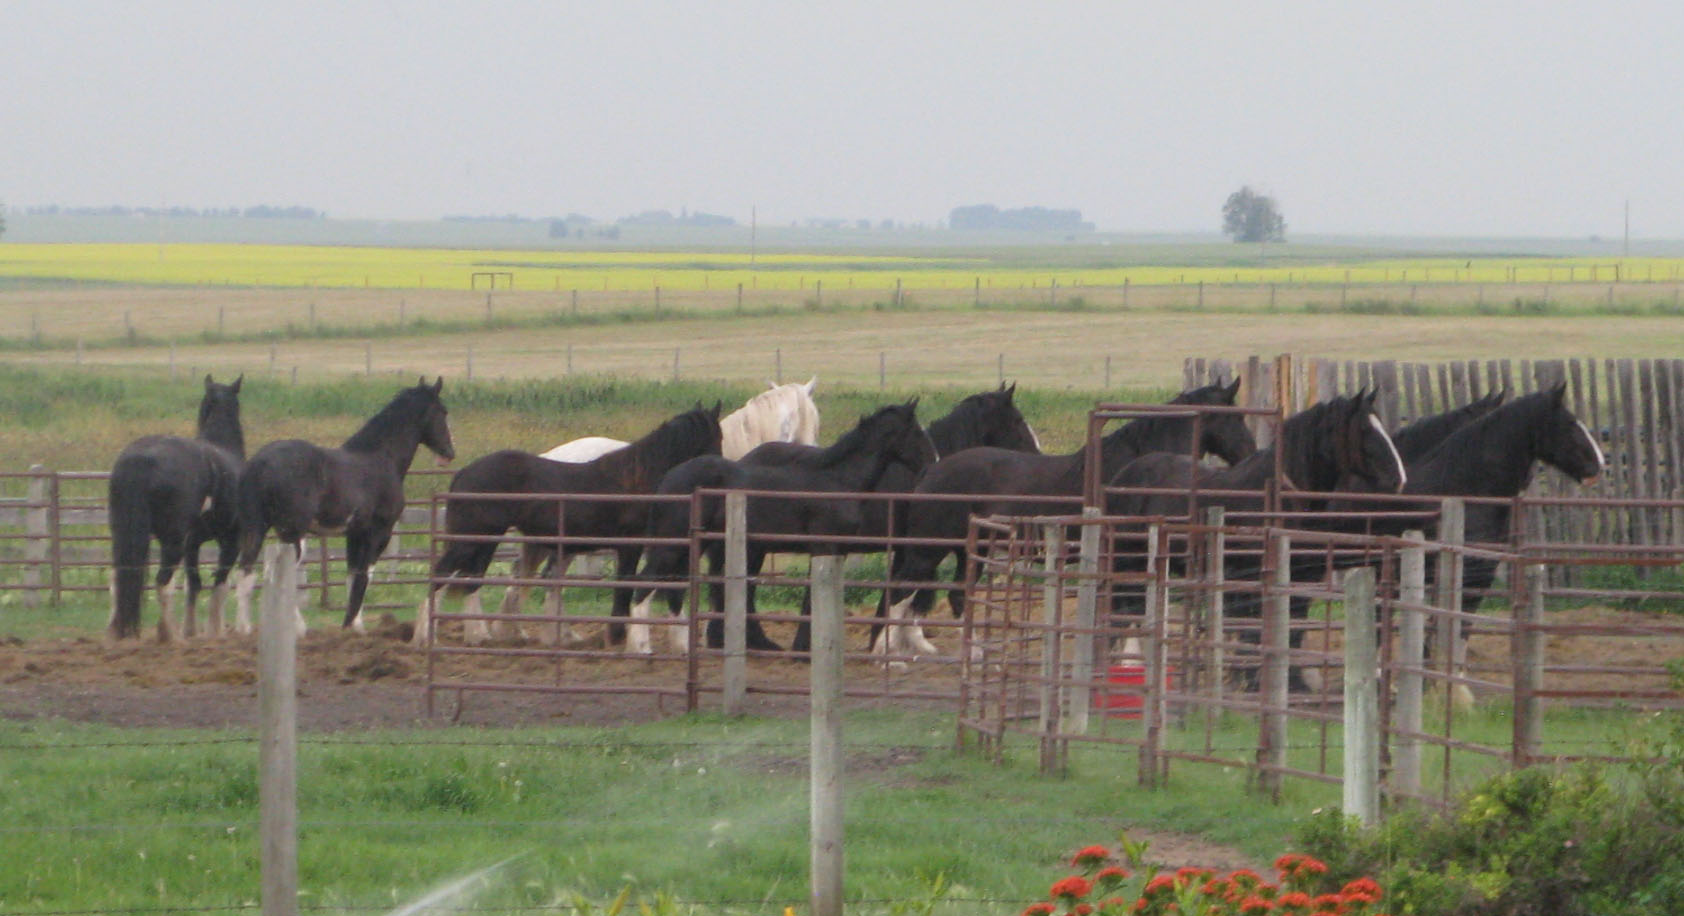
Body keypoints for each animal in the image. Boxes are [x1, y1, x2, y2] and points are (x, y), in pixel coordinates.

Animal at [107, 374, 246, 642]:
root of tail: (141, 458)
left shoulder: (193, 542)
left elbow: (194, 584)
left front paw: (191, 631)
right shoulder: (230, 540)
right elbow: (220, 584)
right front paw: (214, 631)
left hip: (126, 535)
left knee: (120, 577)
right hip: (172, 541)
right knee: (164, 581)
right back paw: (167, 634)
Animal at [232, 378, 454, 635]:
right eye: (442, 411)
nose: (449, 453)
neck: (381, 457)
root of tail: (259, 463)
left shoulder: (354, 534)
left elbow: (351, 576)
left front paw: (354, 627)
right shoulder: (378, 533)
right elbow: (364, 576)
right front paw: (352, 625)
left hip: (256, 529)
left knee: (246, 572)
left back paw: (244, 628)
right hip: (292, 535)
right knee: (277, 573)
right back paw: (298, 627)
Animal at [414, 403, 723, 648]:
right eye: (717, 437)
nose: (721, 468)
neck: (637, 478)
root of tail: (464, 473)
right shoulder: (631, 546)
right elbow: (624, 588)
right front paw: (617, 636)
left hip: (486, 540)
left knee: (472, 580)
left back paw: (478, 635)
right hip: (472, 539)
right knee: (443, 575)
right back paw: (427, 636)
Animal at [629, 400, 938, 654]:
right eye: (916, 433)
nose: (932, 464)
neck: (838, 479)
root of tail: (670, 478)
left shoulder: (836, 550)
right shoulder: (824, 546)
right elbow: (814, 599)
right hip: (673, 545)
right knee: (645, 584)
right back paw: (642, 648)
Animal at [879, 378, 1254, 658]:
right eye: (1235, 417)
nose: (1249, 453)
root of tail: (932, 469)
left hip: (967, 551)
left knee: (953, 596)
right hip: (927, 550)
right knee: (900, 592)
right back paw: (890, 656)